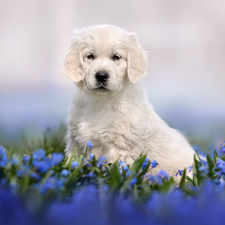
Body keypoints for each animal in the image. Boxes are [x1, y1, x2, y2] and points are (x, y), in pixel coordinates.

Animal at [62, 24, 195, 181]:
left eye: (116, 57)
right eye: (90, 56)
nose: (101, 75)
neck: (102, 100)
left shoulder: (120, 148)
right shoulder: (76, 142)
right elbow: (72, 163)